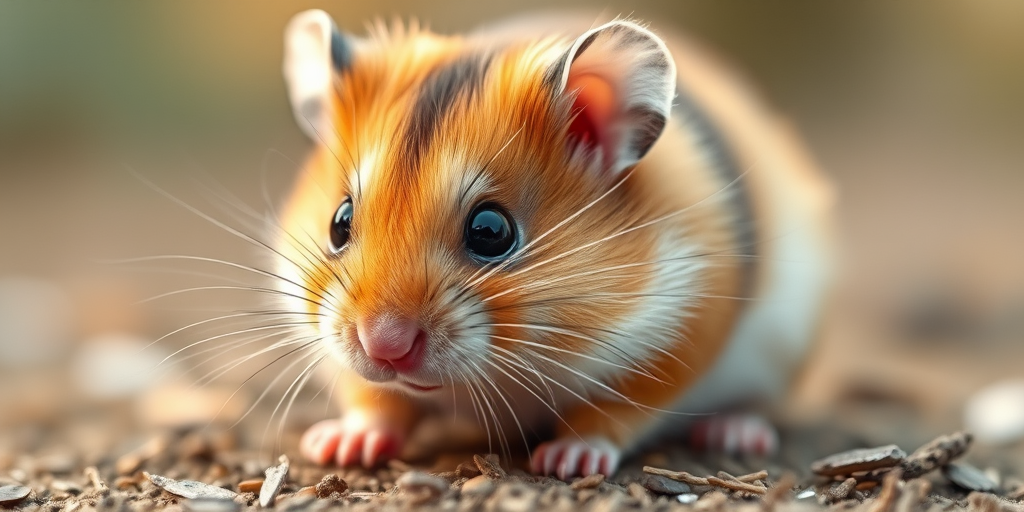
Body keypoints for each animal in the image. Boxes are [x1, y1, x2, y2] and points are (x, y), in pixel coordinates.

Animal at [274, 10, 833, 479]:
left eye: (491, 232)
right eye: (340, 222)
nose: (383, 346)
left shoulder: (681, 335)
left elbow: (614, 413)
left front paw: (567, 461)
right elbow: (375, 399)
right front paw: (335, 446)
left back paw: (735, 433)